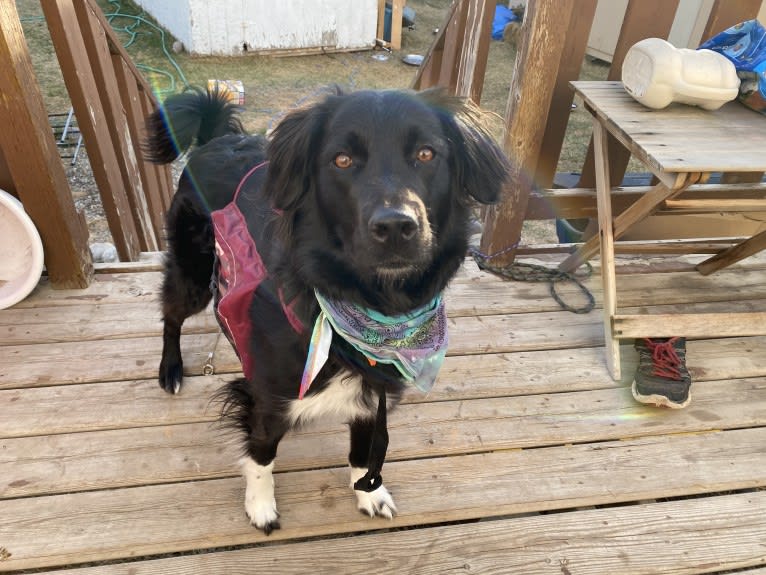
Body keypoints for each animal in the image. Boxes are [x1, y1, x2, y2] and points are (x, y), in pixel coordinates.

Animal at [147, 86, 512, 536]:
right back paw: (171, 369)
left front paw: (370, 493)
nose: (396, 227)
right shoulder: (268, 398)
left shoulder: (376, 388)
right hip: (193, 273)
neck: (370, 308)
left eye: (426, 154)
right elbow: (262, 454)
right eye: (342, 160)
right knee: (171, 313)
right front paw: (260, 506)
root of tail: (216, 140)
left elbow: (364, 451)